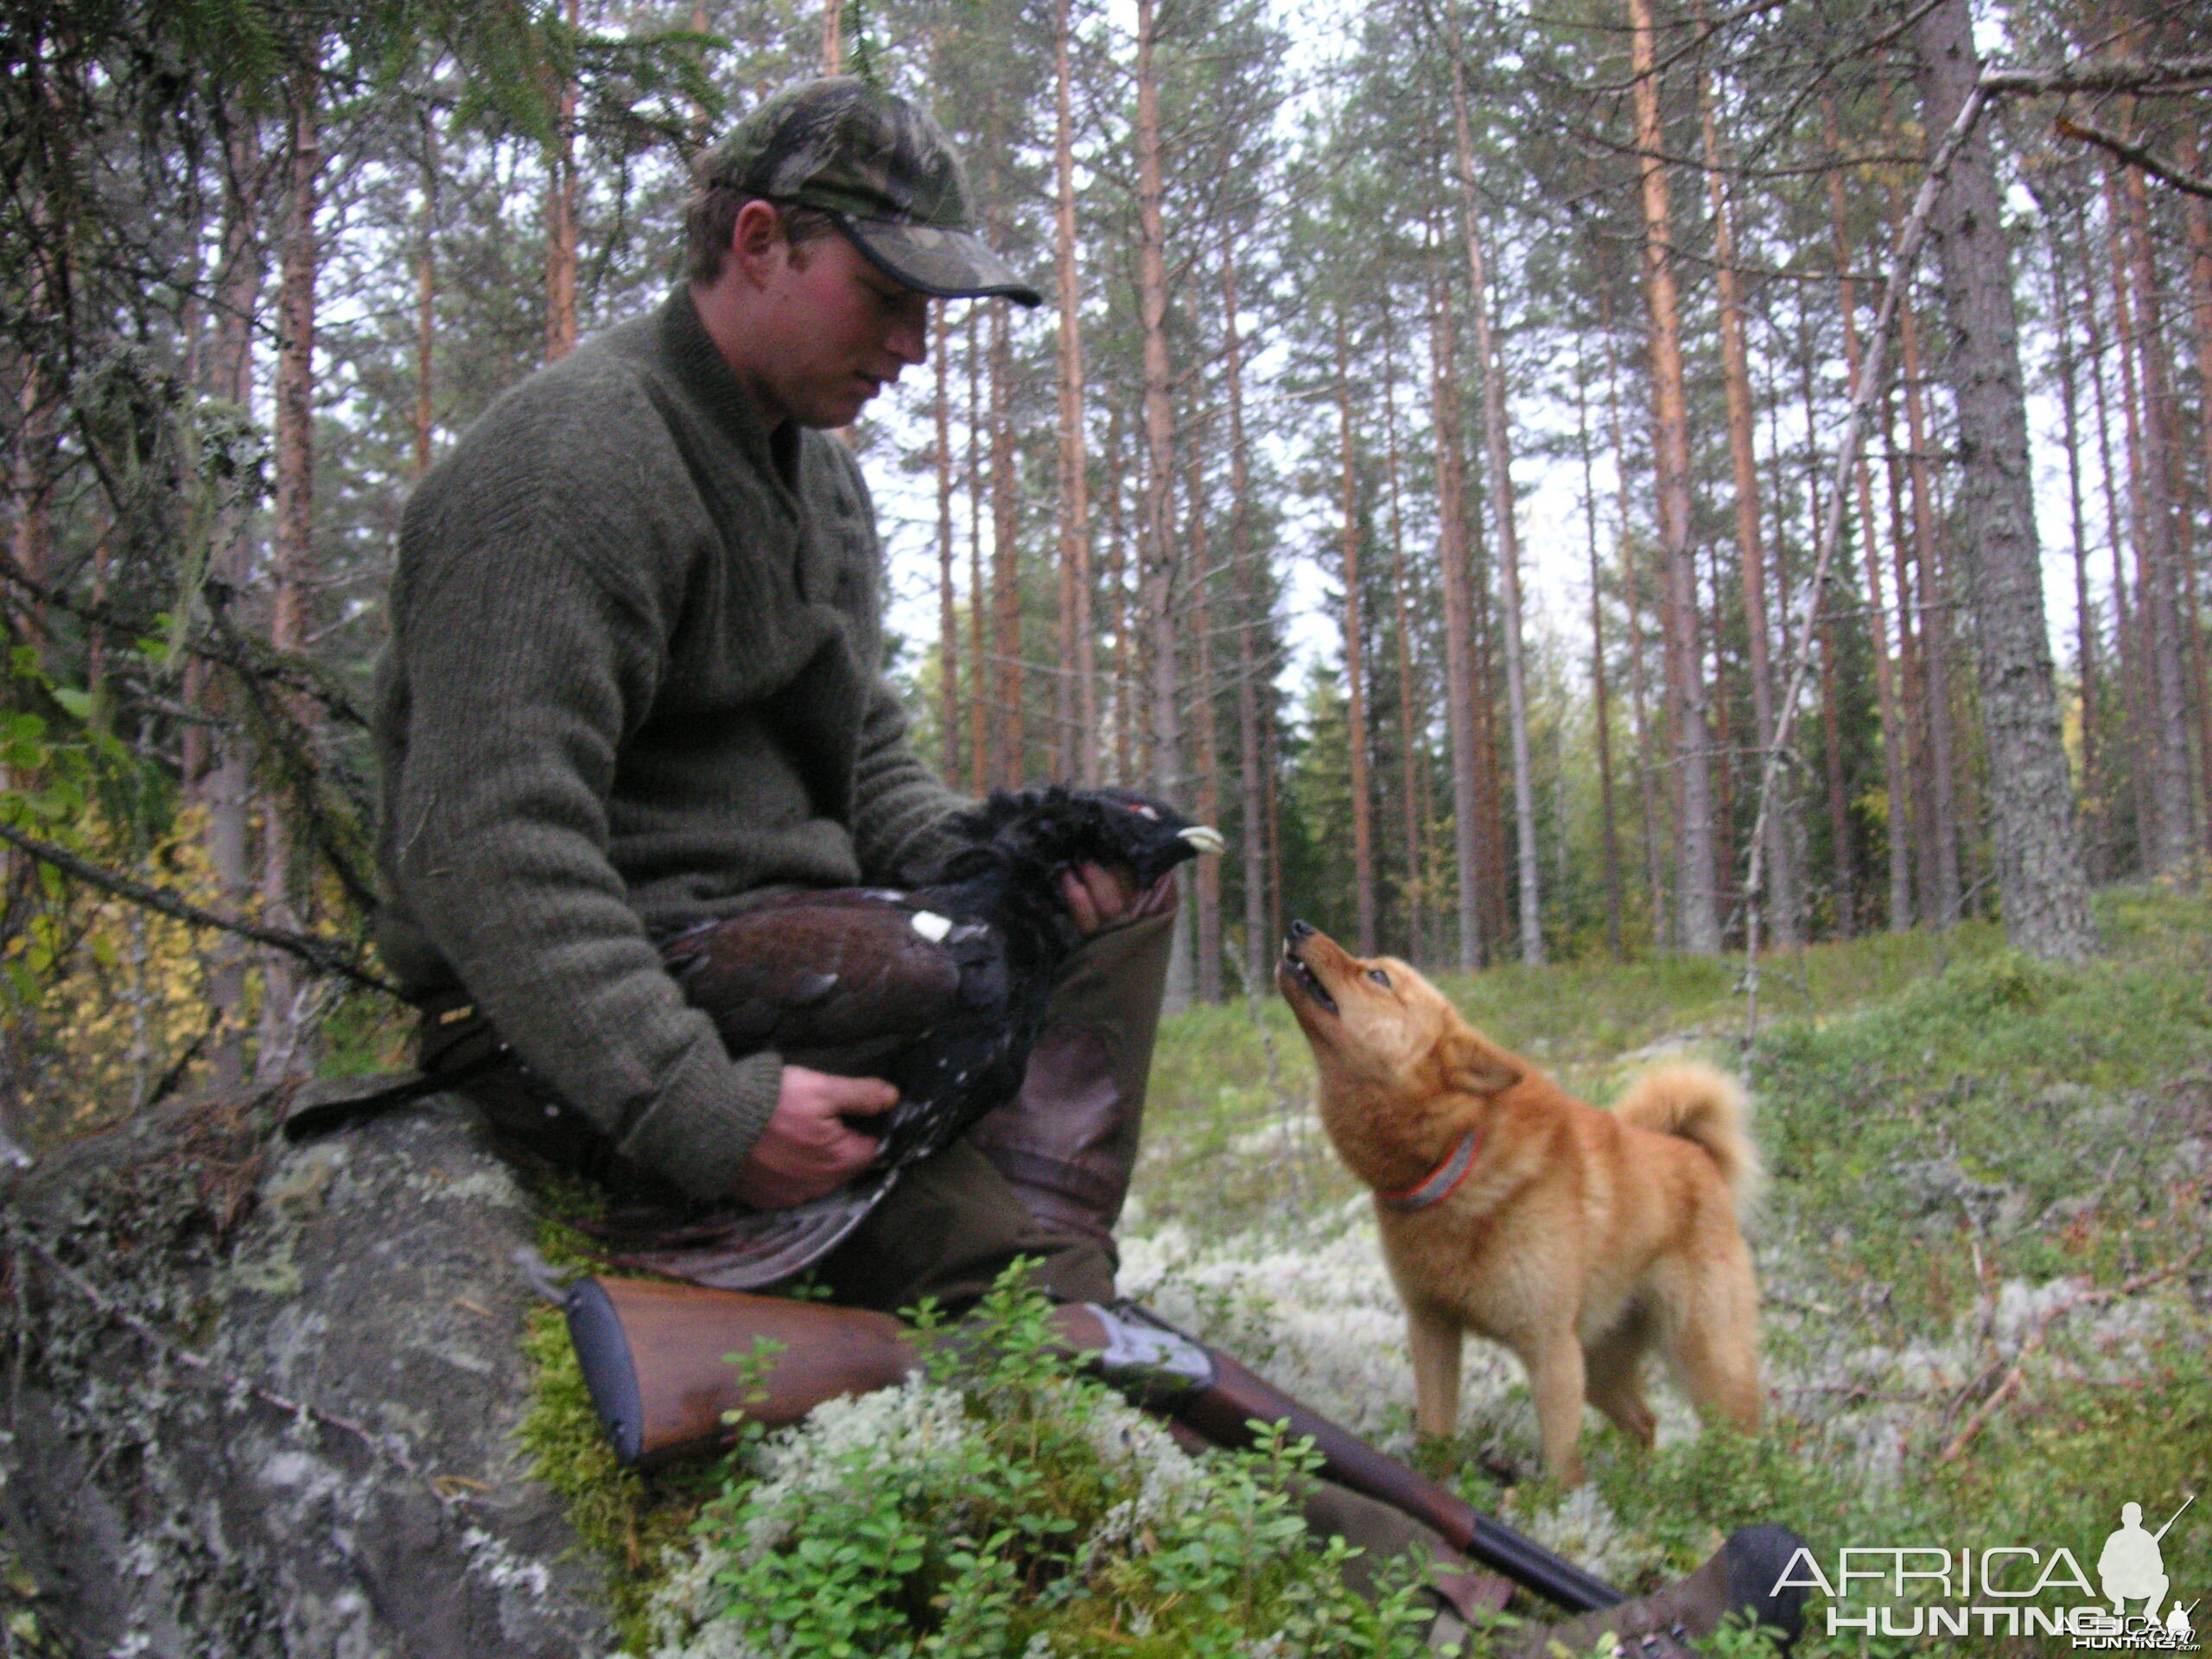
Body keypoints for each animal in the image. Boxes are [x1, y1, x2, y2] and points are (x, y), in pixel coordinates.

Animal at [1282, 929, 1760, 1486]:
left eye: (1378, 975)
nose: (1298, 926)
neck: (1458, 1153)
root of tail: (1697, 1154)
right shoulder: (1433, 1330)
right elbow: (1436, 1436)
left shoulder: (1549, 1350)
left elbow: (1561, 1470)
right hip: (1599, 1365)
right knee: (1645, 1422)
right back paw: (1637, 1490)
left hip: (1708, 1363)